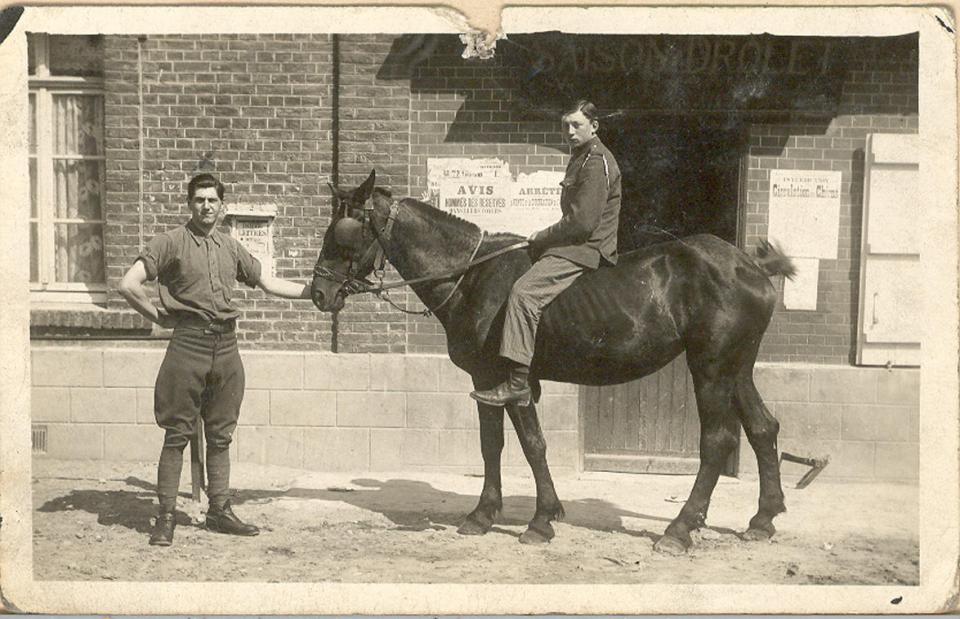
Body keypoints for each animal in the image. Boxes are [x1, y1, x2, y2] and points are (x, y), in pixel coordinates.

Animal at [310, 170, 796, 554]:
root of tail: (749, 264)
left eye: (343, 233)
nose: (319, 292)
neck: (472, 277)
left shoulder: (508, 380)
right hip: (736, 369)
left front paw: (539, 519)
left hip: (711, 369)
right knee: (762, 428)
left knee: (716, 441)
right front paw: (488, 513)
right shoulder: (487, 383)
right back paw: (762, 519)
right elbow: (493, 446)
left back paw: (679, 529)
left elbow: (531, 445)